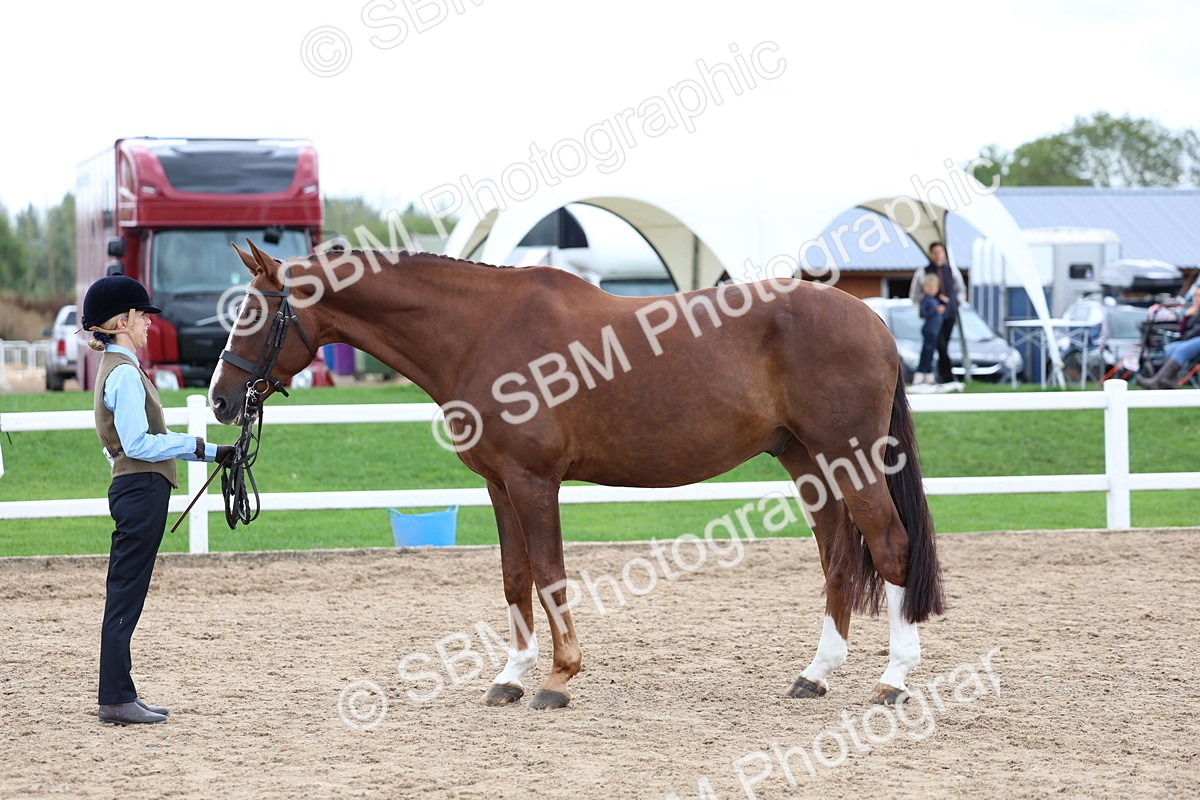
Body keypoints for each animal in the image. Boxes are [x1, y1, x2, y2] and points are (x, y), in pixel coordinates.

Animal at [209, 240, 944, 710]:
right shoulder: (499, 485)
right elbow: (515, 578)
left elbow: (550, 575)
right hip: (809, 462)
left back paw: (893, 681)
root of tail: (875, 323)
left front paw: (558, 679)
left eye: (254, 313)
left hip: (849, 457)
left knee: (891, 546)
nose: (219, 400)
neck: (480, 331)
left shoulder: (535, 482)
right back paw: (816, 674)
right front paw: (509, 677)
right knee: (839, 557)